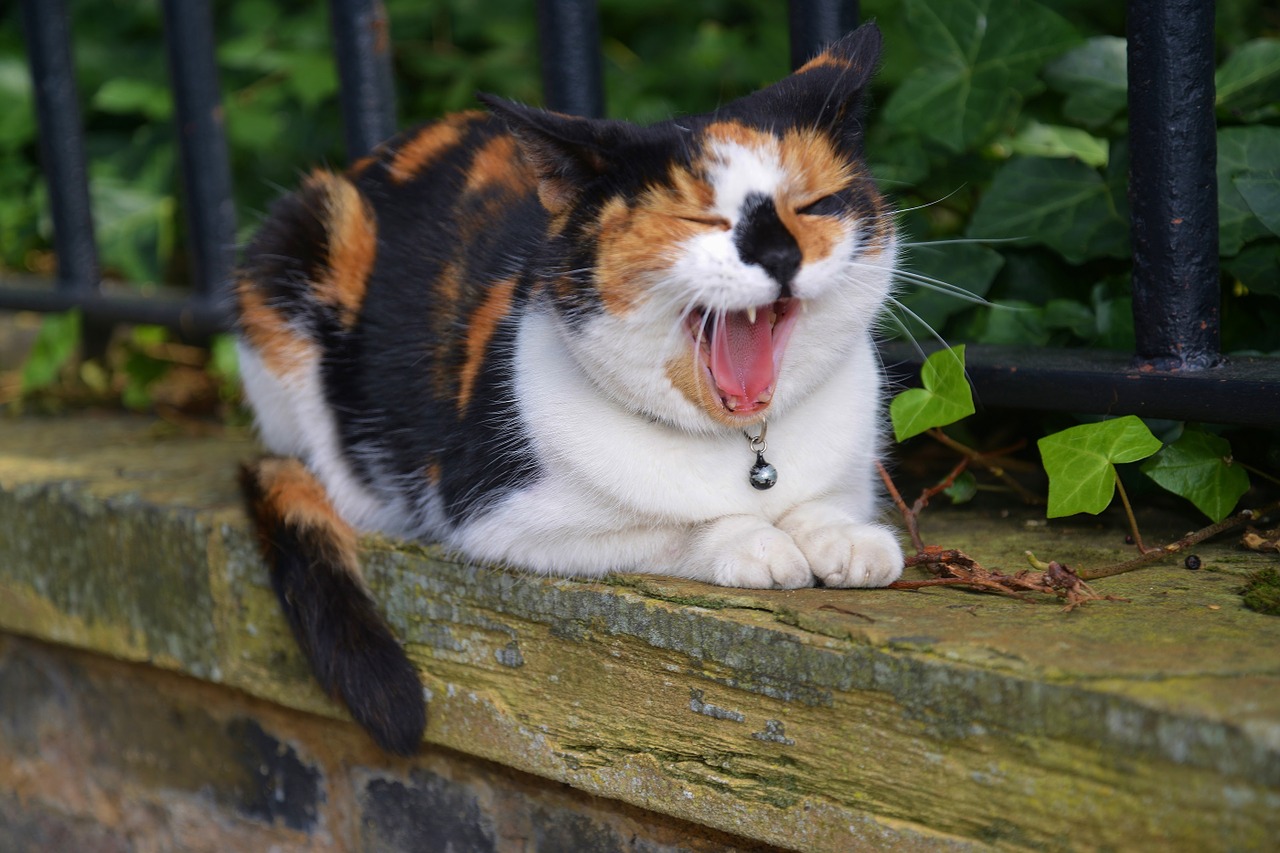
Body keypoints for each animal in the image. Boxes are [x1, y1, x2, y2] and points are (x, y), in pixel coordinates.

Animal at [235, 21, 906, 753]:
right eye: (699, 220)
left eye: (813, 205)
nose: (781, 255)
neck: (748, 450)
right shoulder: (500, 519)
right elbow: (665, 528)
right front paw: (753, 543)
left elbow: (825, 505)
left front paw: (847, 538)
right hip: (295, 250)